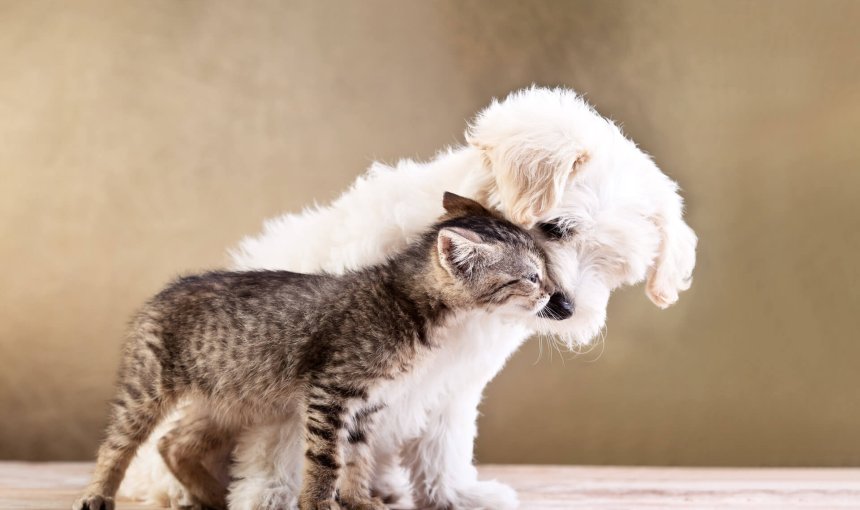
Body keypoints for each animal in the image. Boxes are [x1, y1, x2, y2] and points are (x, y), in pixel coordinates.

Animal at [74, 193, 556, 510]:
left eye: (543, 270)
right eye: (531, 276)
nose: (553, 294)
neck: (408, 303)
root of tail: (165, 289)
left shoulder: (368, 404)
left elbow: (357, 457)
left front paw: (359, 500)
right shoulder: (331, 391)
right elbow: (326, 458)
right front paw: (320, 502)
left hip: (229, 399)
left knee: (174, 443)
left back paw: (216, 496)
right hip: (147, 387)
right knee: (118, 442)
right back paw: (98, 494)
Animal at [121, 85, 696, 508]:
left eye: (614, 268)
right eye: (555, 228)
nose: (568, 308)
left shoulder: (454, 383)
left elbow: (444, 442)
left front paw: (455, 494)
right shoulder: (307, 367)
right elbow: (284, 445)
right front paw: (271, 497)